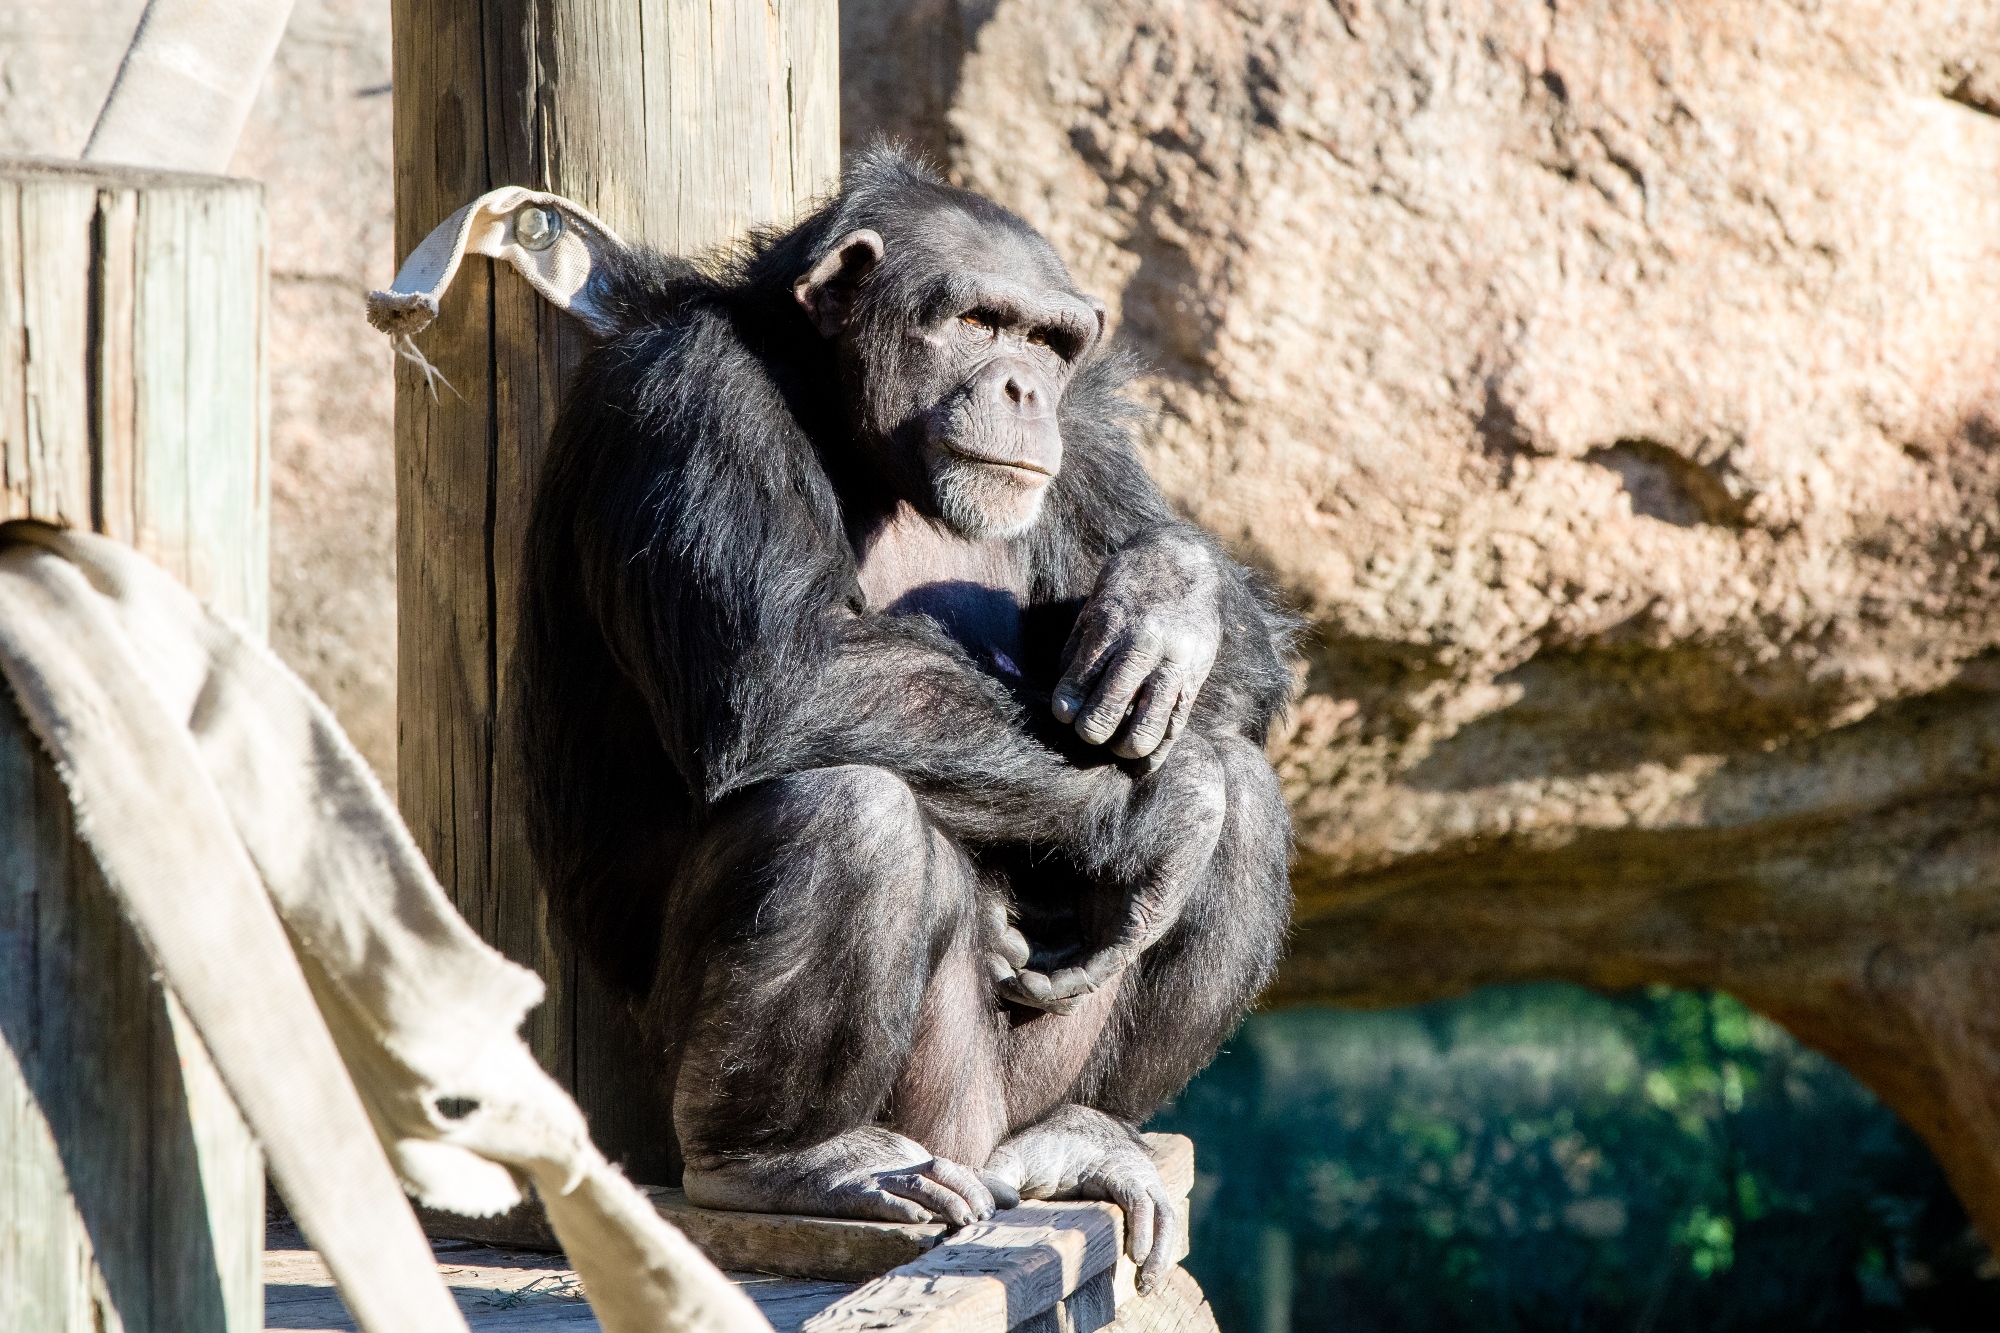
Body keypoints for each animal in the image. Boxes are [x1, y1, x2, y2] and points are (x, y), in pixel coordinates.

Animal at [516, 143, 1296, 1280]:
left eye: (1048, 341)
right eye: (976, 320)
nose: (1022, 385)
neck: (863, 437)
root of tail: (981, 1147)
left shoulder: (1084, 428)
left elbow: (1251, 662)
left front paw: (1168, 595)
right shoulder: (689, 394)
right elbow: (787, 676)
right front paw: (1164, 810)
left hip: (1018, 1080)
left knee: (1249, 791)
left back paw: (1084, 1133)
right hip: (856, 1095)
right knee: (850, 809)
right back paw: (787, 1160)